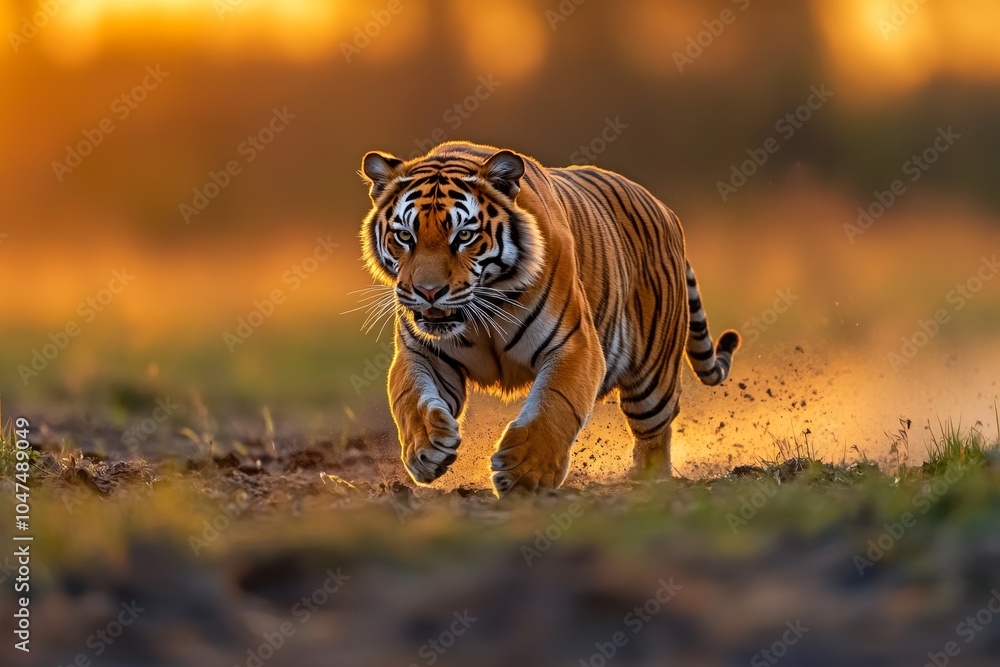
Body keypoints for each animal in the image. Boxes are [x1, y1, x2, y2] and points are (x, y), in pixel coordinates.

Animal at [359, 141, 739, 495]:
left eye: (464, 235)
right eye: (404, 236)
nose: (429, 292)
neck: (483, 306)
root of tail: (665, 210)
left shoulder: (574, 345)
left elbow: (554, 406)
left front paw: (524, 473)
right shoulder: (424, 352)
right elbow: (410, 397)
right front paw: (427, 447)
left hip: (652, 379)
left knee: (656, 433)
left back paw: (646, 484)